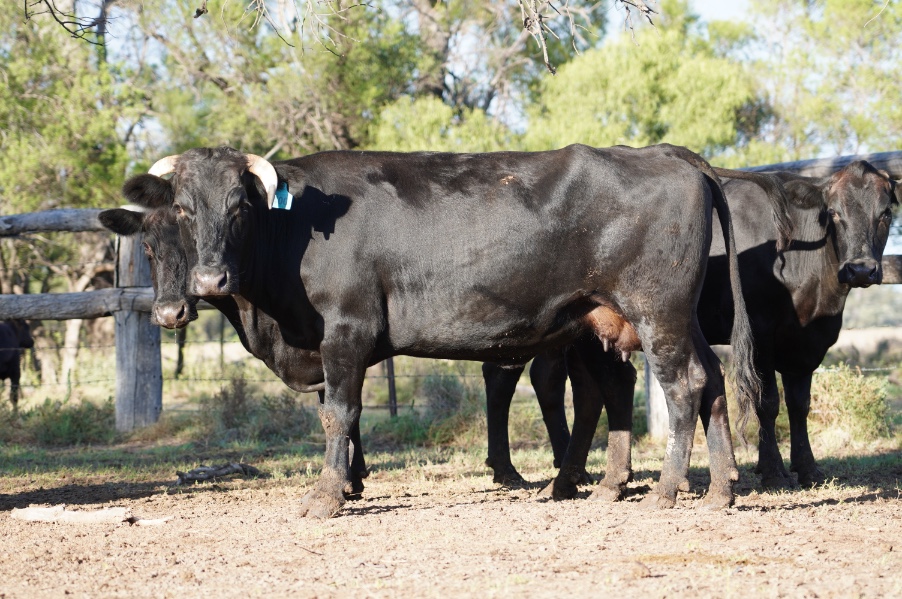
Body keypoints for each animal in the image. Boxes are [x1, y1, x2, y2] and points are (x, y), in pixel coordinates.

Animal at [112, 143, 760, 518]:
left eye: (240, 206)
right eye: (184, 209)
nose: (209, 279)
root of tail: (671, 156)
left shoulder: (345, 330)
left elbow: (339, 414)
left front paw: (326, 496)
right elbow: (335, 416)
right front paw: (347, 484)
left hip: (658, 313)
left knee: (682, 386)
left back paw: (667, 489)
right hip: (648, 318)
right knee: (705, 382)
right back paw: (714, 490)